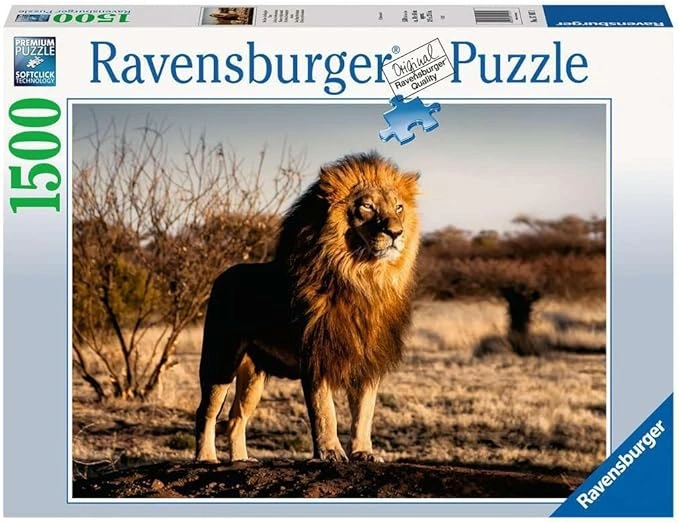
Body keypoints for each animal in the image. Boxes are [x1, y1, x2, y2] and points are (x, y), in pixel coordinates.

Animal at [195, 152, 420, 463]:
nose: (396, 232)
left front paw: (363, 452)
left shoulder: (368, 359)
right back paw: (206, 458)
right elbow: (325, 412)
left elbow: (364, 413)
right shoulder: (316, 356)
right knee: (206, 411)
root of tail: (222, 275)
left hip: (253, 373)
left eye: (399, 207)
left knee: (235, 417)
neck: (363, 278)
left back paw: (241, 460)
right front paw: (331, 452)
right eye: (367, 206)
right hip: (221, 359)